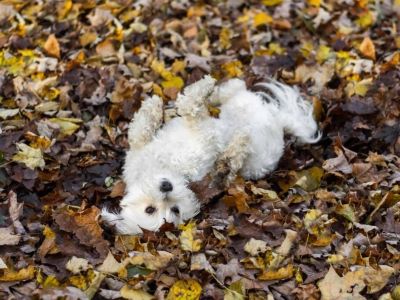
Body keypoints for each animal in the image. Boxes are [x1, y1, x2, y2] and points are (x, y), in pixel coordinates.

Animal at [101, 75, 320, 234]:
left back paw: (214, 93)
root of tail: (278, 122)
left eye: (173, 209)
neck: (169, 168)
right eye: (151, 210)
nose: (166, 187)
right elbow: (186, 112)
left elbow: (143, 129)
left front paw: (153, 106)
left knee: (235, 88)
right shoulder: (205, 140)